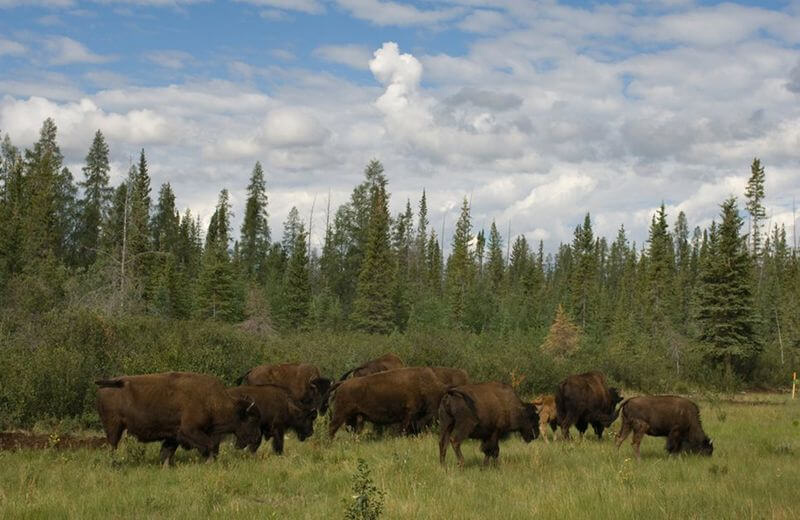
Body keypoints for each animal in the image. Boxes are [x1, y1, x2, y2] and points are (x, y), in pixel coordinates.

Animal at [94, 372, 260, 466]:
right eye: (251, 419)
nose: (257, 438)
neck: (211, 400)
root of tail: (105, 385)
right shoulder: (190, 430)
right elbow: (211, 445)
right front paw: (210, 462)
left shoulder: (174, 434)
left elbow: (167, 451)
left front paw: (166, 466)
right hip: (114, 427)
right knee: (112, 446)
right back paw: (114, 464)